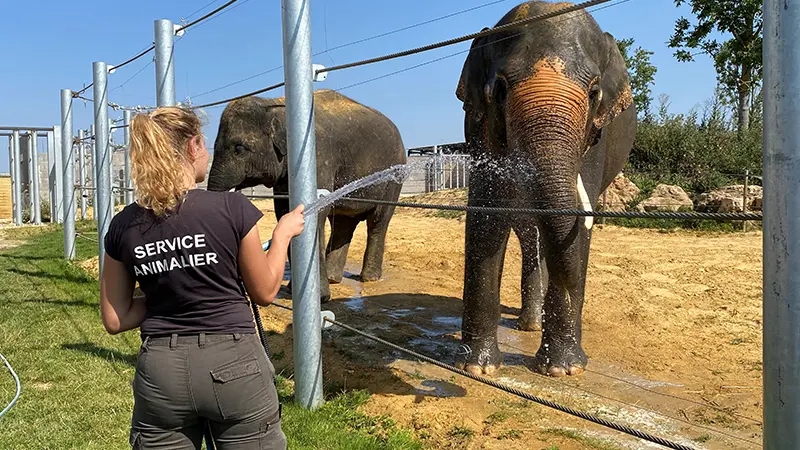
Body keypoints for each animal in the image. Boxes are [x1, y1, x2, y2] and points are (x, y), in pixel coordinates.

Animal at [206, 89, 406, 302]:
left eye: (239, 148)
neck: (275, 104)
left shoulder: (317, 156)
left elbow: (317, 211)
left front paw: (319, 298)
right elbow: (283, 211)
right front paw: (293, 291)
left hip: (394, 178)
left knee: (378, 220)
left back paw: (369, 278)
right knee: (343, 223)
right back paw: (334, 278)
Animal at [456, 1, 636, 378]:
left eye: (594, 92)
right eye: (500, 90)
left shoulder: (598, 133)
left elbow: (576, 226)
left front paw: (564, 370)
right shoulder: (478, 121)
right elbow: (487, 211)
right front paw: (477, 368)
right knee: (529, 232)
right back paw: (529, 325)